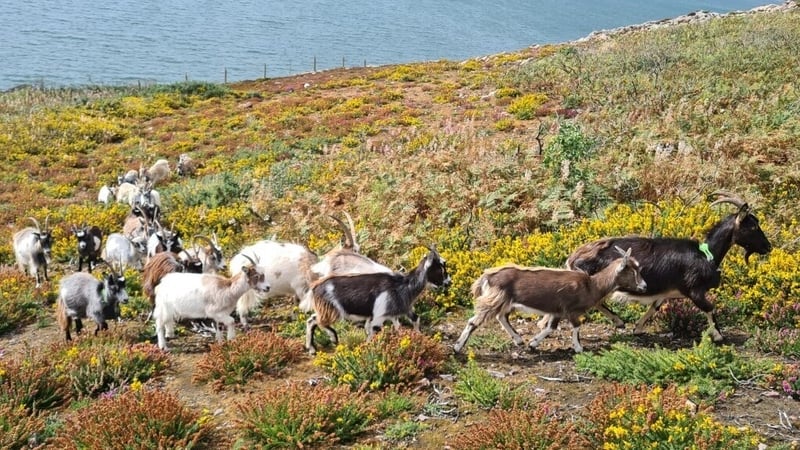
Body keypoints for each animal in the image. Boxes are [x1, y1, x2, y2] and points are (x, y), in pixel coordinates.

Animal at [305, 246, 450, 354]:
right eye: (439, 269)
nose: (449, 282)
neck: (402, 285)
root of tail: (315, 287)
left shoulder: (398, 311)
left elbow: (413, 320)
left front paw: (417, 337)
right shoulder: (379, 317)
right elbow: (373, 332)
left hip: (326, 308)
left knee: (311, 320)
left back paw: (312, 349)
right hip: (333, 310)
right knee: (319, 321)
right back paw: (333, 338)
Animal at [453, 247, 645, 354]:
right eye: (632, 271)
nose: (644, 286)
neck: (592, 285)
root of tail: (486, 276)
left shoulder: (557, 310)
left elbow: (550, 328)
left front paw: (532, 344)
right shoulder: (570, 309)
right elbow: (576, 326)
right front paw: (579, 348)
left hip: (505, 301)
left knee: (502, 317)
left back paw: (519, 340)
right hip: (495, 298)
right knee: (475, 321)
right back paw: (457, 347)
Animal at [557, 191, 772, 342]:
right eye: (753, 226)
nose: (768, 247)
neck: (706, 253)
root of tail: (574, 257)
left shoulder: (665, 292)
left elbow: (655, 306)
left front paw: (638, 328)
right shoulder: (694, 289)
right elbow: (710, 308)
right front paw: (719, 336)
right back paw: (618, 321)